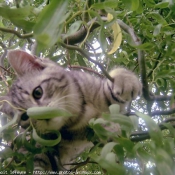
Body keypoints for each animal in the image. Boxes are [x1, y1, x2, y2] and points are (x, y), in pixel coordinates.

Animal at [0, 49, 142, 171]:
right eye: (25, 117)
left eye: (37, 92)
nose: (43, 116)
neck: (78, 110)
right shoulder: (71, 136)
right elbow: (92, 128)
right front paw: (106, 127)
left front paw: (125, 79)